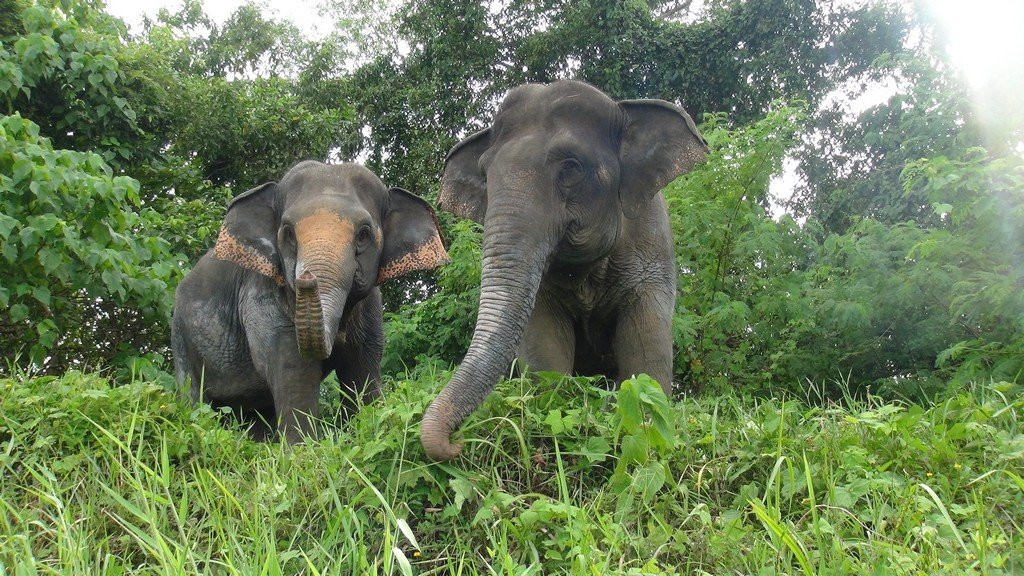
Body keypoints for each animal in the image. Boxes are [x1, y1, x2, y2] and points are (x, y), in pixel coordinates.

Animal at [172, 159, 448, 438]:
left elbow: (362, 366)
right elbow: (292, 367)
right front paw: (303, 448)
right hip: (181, 338)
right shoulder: (259, 293)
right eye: (288, 233)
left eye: (363, 233)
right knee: (193, 394)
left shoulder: (370, 306)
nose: (305, 276)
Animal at [419, 79, 708, 457]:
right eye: (485, 175)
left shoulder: (652, 245)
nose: (458, 443)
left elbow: (646, 352)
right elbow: (545, 346)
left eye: (571, 167)